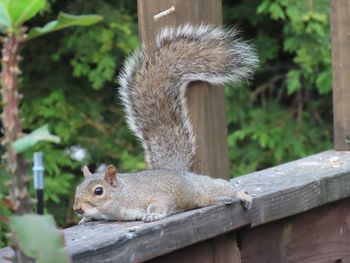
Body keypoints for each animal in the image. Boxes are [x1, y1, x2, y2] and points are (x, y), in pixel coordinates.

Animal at [73, 24, 258, 224]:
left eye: (98, 191)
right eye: (77, 189)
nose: (77, 209)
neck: (120, 198)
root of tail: (176, 171)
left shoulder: (153, 194)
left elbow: (161, 201)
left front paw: (153, 214)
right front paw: (86, 219)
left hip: (201, 191)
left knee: (220, 188)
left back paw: (241, 194)